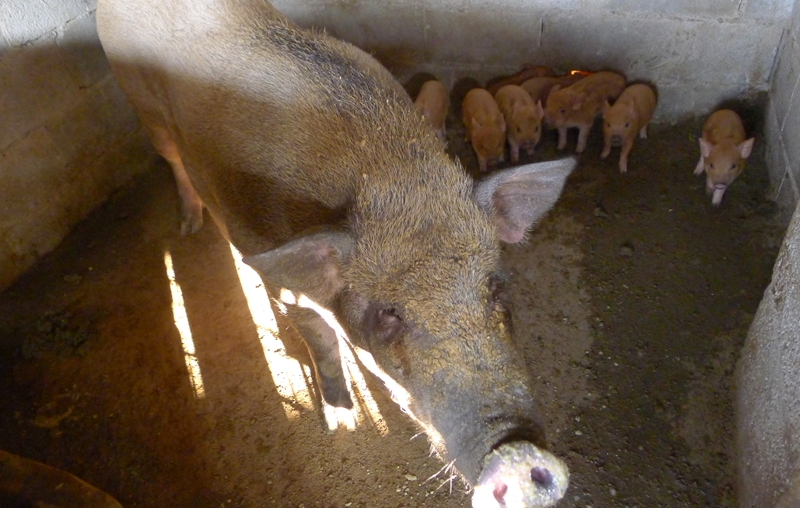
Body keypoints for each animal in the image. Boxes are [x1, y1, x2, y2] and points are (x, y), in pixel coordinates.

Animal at [98, 1, 576, 506]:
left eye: (495, 287)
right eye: (389, 314)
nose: (522, 456)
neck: (388, 178)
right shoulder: (279, 279)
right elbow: (322, 342)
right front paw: (342, 423)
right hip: (142, 105)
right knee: (172, 159)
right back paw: (189, 227)